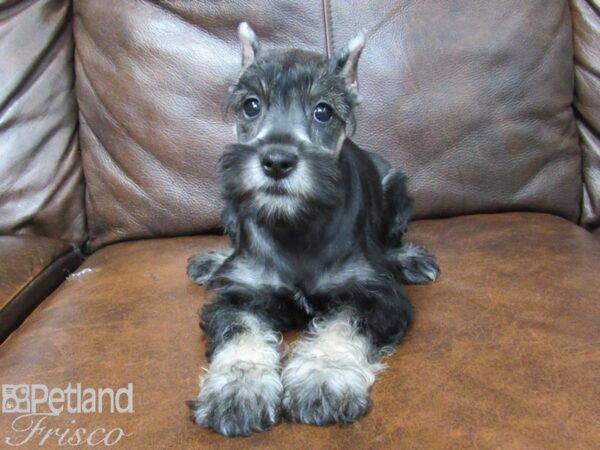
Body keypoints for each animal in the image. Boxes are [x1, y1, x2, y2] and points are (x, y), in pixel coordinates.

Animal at [185, 22, 438, 436]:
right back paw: (212, 262)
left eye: (324, 111)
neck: (296, 225)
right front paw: (239, 390)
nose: (277, 160)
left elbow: (340, 327)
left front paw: (324, 379)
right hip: (231, 207)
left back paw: (408, 259)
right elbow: (241, 333)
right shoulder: (237, 298)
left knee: (389, 243)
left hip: (397, 189)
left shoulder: (376, 297)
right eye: (251, 105)